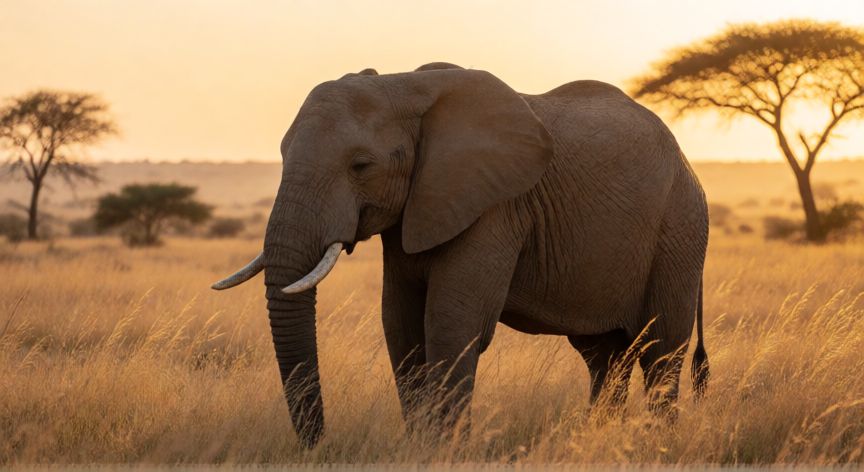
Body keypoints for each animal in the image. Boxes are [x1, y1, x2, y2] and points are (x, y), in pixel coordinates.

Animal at [212, 62, 710, 448]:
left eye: (361, 166)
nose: (321, 446)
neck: (402, 84)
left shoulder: (495, 207)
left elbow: (450, 322)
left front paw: (442, 451)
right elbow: (400, 322)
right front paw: (419, 447)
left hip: (679, 229)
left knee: (660, 350)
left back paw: (656, 445)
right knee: (604, 358)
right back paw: (600, 442)